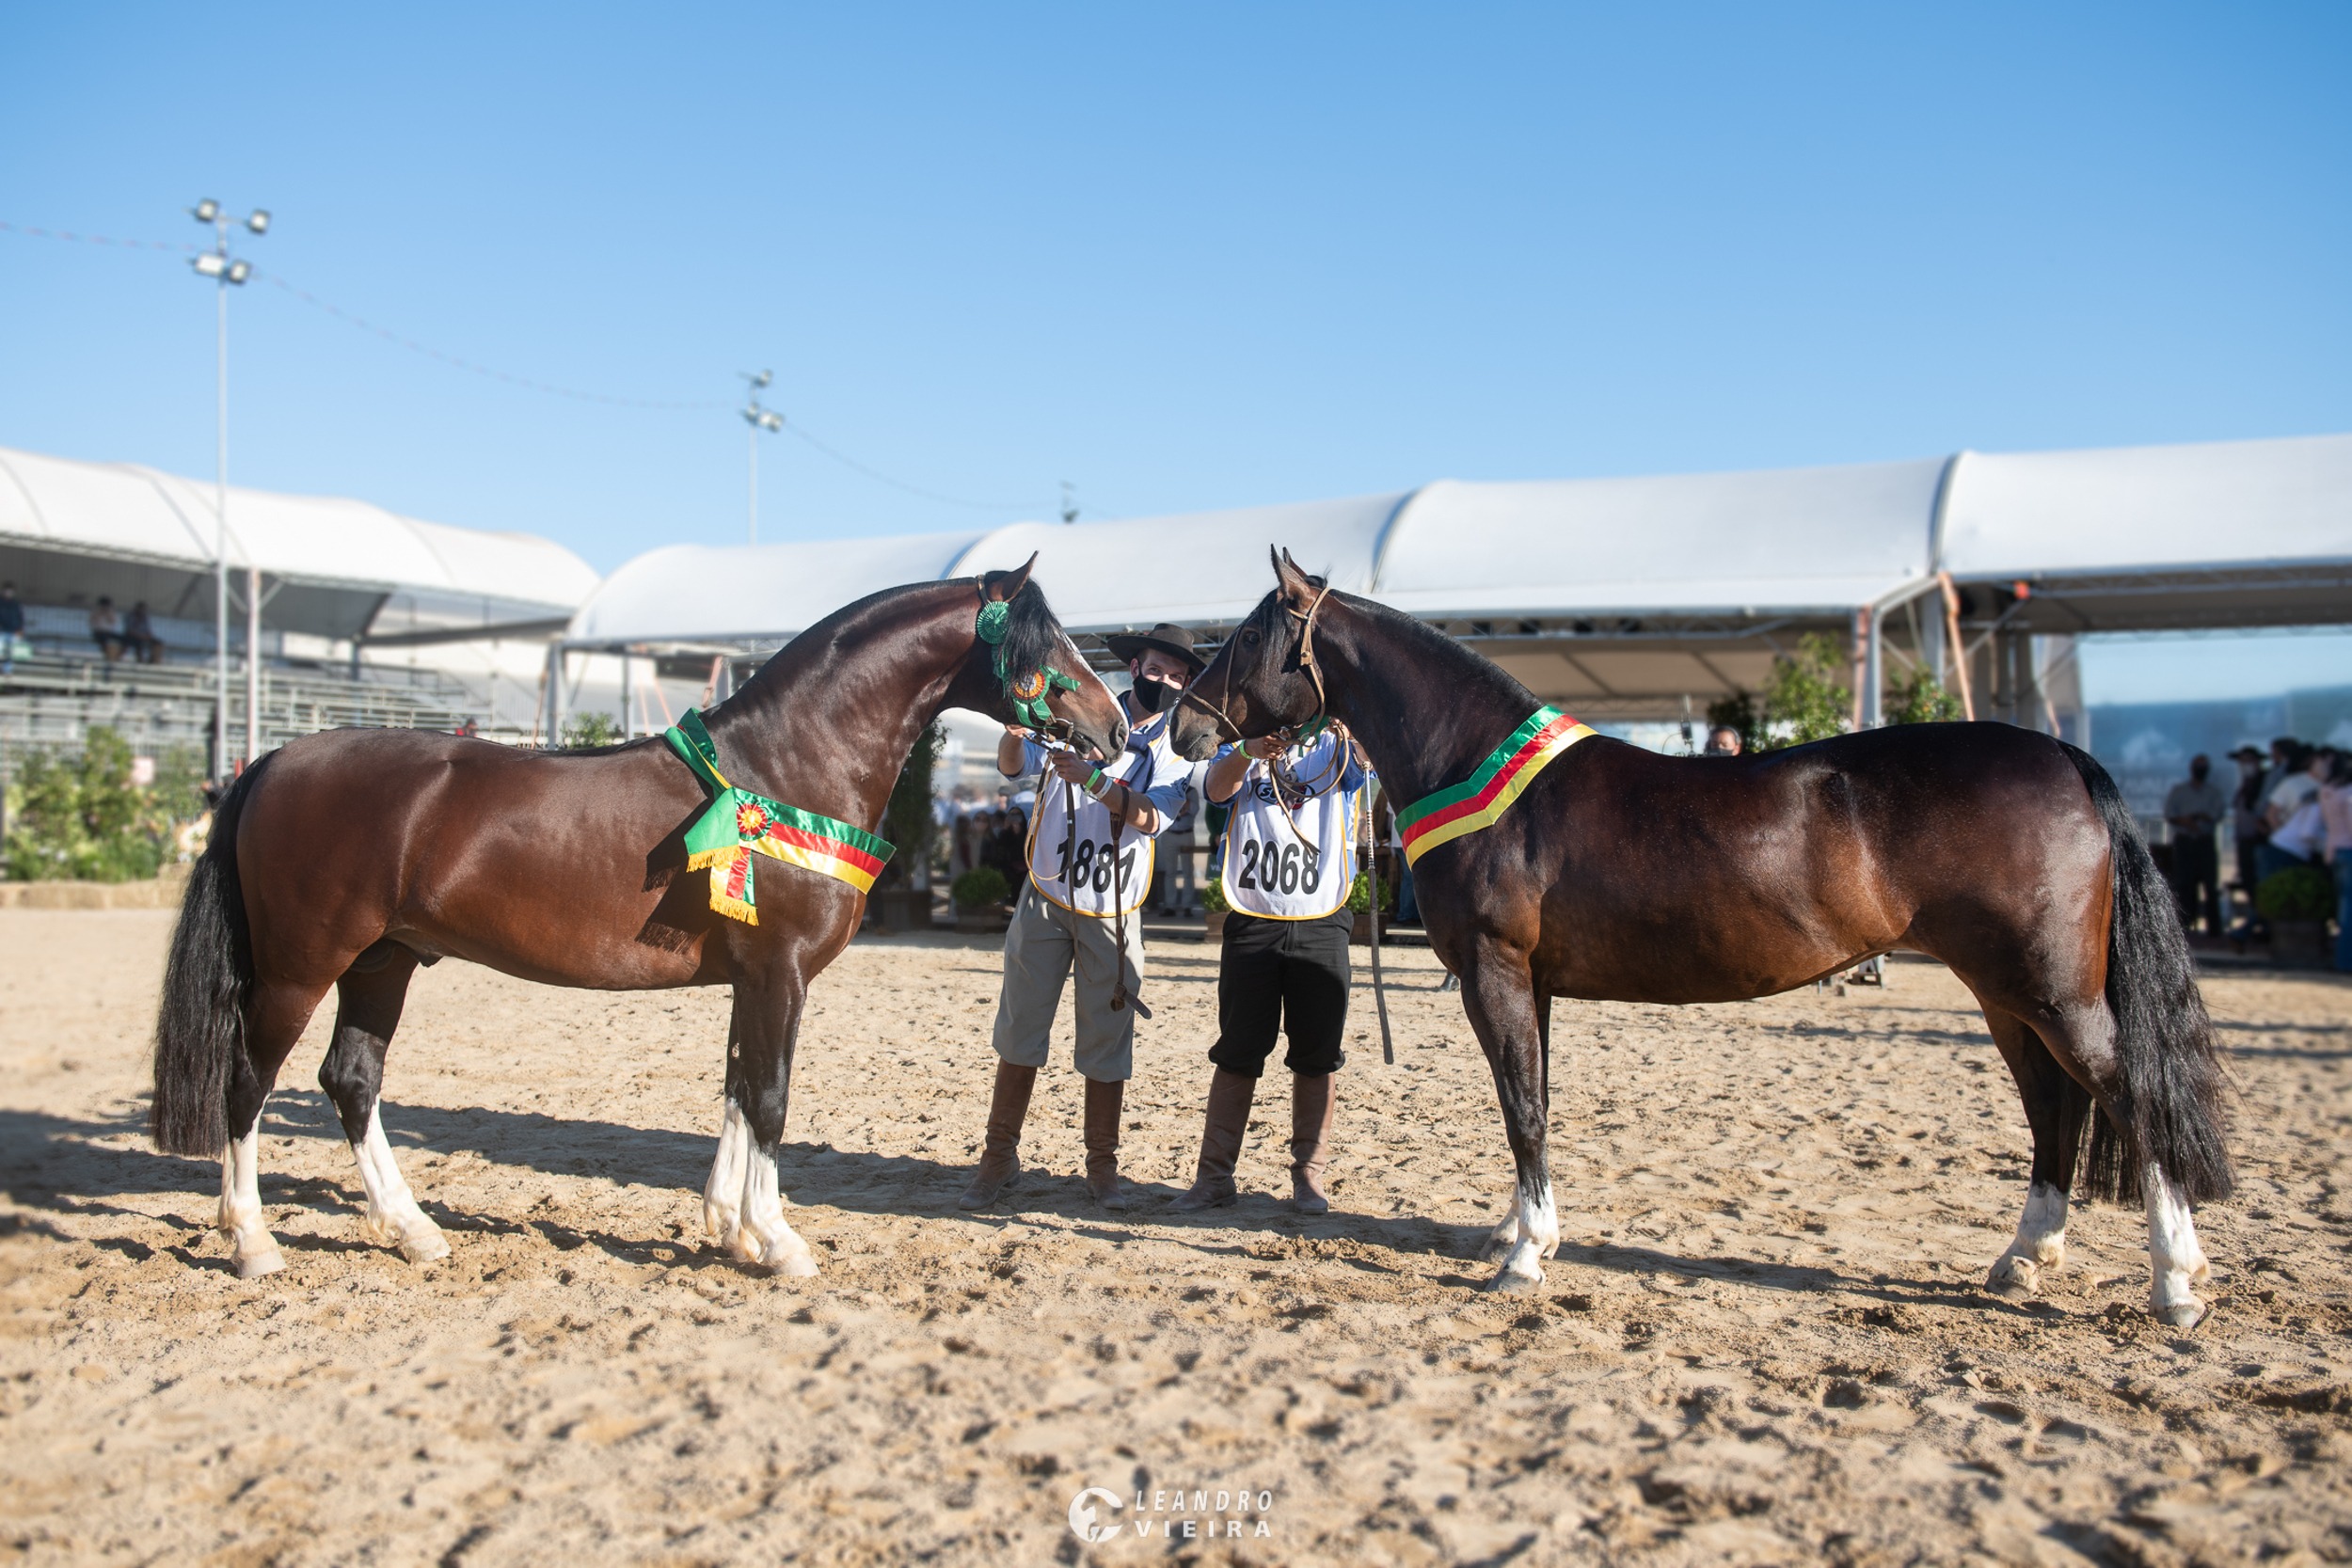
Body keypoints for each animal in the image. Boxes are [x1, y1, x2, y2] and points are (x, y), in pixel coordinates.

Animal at [151, 571, 1124, 1278]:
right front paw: (779, 1241)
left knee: (351, 1080)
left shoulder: (754, 977)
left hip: (382, 961)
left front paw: (730, 1228)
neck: (784, 765)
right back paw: (254, 1242)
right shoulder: (780, 971)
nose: (1115, 727)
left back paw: (414, 1229)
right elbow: (769, 1098)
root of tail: (272, 760)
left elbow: (738, 1089)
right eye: (1043, 643)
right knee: (248, 1081)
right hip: (301, 965)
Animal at [1167, 552, 2230, 1325]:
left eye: (1253, 635)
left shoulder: (1496, 972)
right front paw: (1519, 1232)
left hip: (2049, 988)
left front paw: (1523, 1258)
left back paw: (2175, 1283)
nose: (1182, 727)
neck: (1477, 765)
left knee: (2124, 1092)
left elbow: (1522, 1108)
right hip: (2005, 989)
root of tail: (2064, 756)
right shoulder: (1533, 983)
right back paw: (2022, 1258)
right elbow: (1532, 1102)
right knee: (2053, 1103)